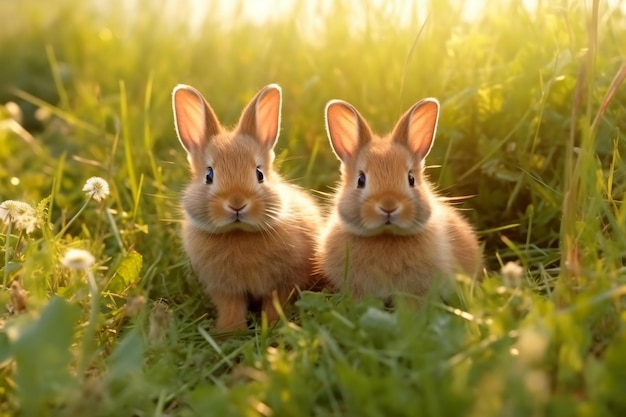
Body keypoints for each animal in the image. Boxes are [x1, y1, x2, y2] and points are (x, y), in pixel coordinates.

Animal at [172, 83, 322, 332]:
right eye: (209, 175)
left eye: (259, 174)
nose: (236, 203)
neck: (239, 232)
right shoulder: (225, 289)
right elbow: (231, 307)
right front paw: (230, 331)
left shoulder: (283, 283)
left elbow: (275, 303)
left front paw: (272, 326)